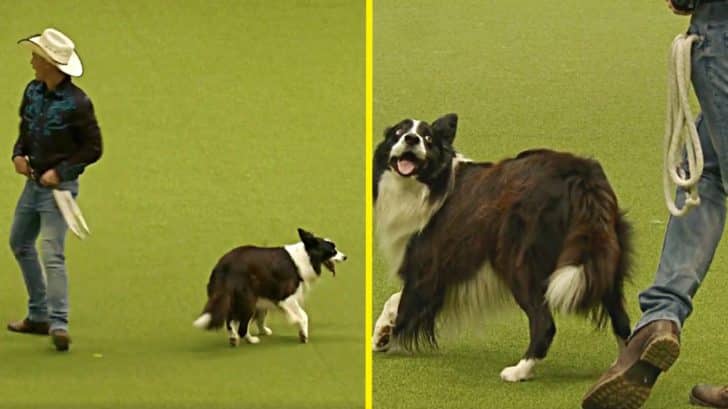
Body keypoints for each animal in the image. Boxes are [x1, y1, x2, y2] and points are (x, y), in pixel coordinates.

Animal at [193, 228, 346, 346]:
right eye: (333, 250)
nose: (345, 257)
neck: (306, 256)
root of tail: (223, 267)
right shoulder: (286, 297)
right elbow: (303, 316)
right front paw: (303, 334)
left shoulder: (265, 296)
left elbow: (261, 317)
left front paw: (264, 330)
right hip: (248, 300)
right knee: (242, 326)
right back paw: (251, 340)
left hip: (235, 299)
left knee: (230, 321)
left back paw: (234, 338)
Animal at [370, 113, 632, 380]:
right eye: (399, 132)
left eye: (427, 138)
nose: (411, 139)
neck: (428, 185)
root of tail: (580, 175)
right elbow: (396, 299)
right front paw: (382, 334)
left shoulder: (426, 263)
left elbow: (403, 299)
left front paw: (385, 336)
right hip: (600, 257)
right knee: (621, 318)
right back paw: (621, 367)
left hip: (520, 262)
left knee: (544, 322)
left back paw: (519, 371)